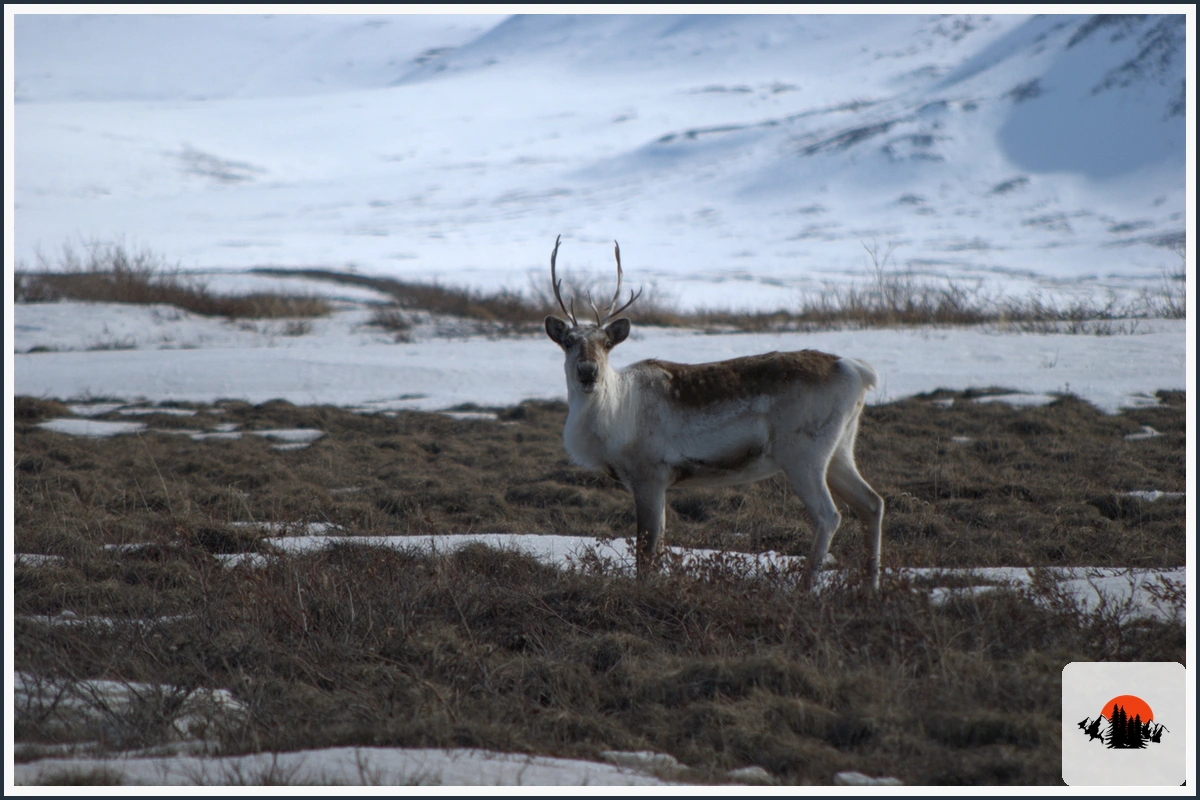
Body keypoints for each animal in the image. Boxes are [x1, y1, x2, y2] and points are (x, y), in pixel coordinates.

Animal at [543, 236, 885, 590]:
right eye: (568, 341)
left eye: (607, 343)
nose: (588, 371)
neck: (614, 417)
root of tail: (856, 370)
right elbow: (655, 547)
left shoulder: (649, 474)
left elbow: (646, 551)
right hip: (840, 448)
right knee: (872, 503)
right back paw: (870, 587)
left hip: (804, 453)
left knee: (829, 515)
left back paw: (803, 588)